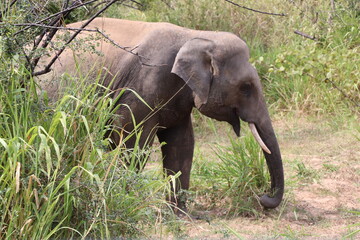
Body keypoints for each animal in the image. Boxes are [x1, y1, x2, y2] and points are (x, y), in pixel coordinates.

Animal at [36, 17, 284, 212]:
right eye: (246, 87)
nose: (263, 197)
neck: (197, 36)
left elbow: (182, 144)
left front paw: (178, 214)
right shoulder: (142, 86)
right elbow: (132, 140)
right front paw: (130, 200)